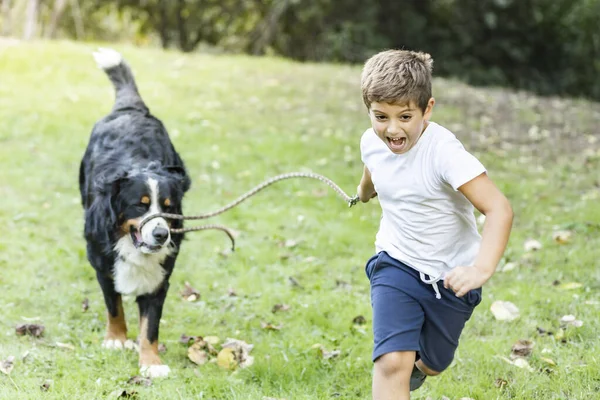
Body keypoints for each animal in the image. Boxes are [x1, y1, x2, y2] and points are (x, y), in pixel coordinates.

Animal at [78, 49, 190, 378]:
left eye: (168, 207)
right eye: (140, 204)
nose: (161, 234)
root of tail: (131, 108)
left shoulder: (161, 276)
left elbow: (150, 325)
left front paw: (151, 362)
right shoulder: (102, 263)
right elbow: (114, 304)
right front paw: (116, 339)